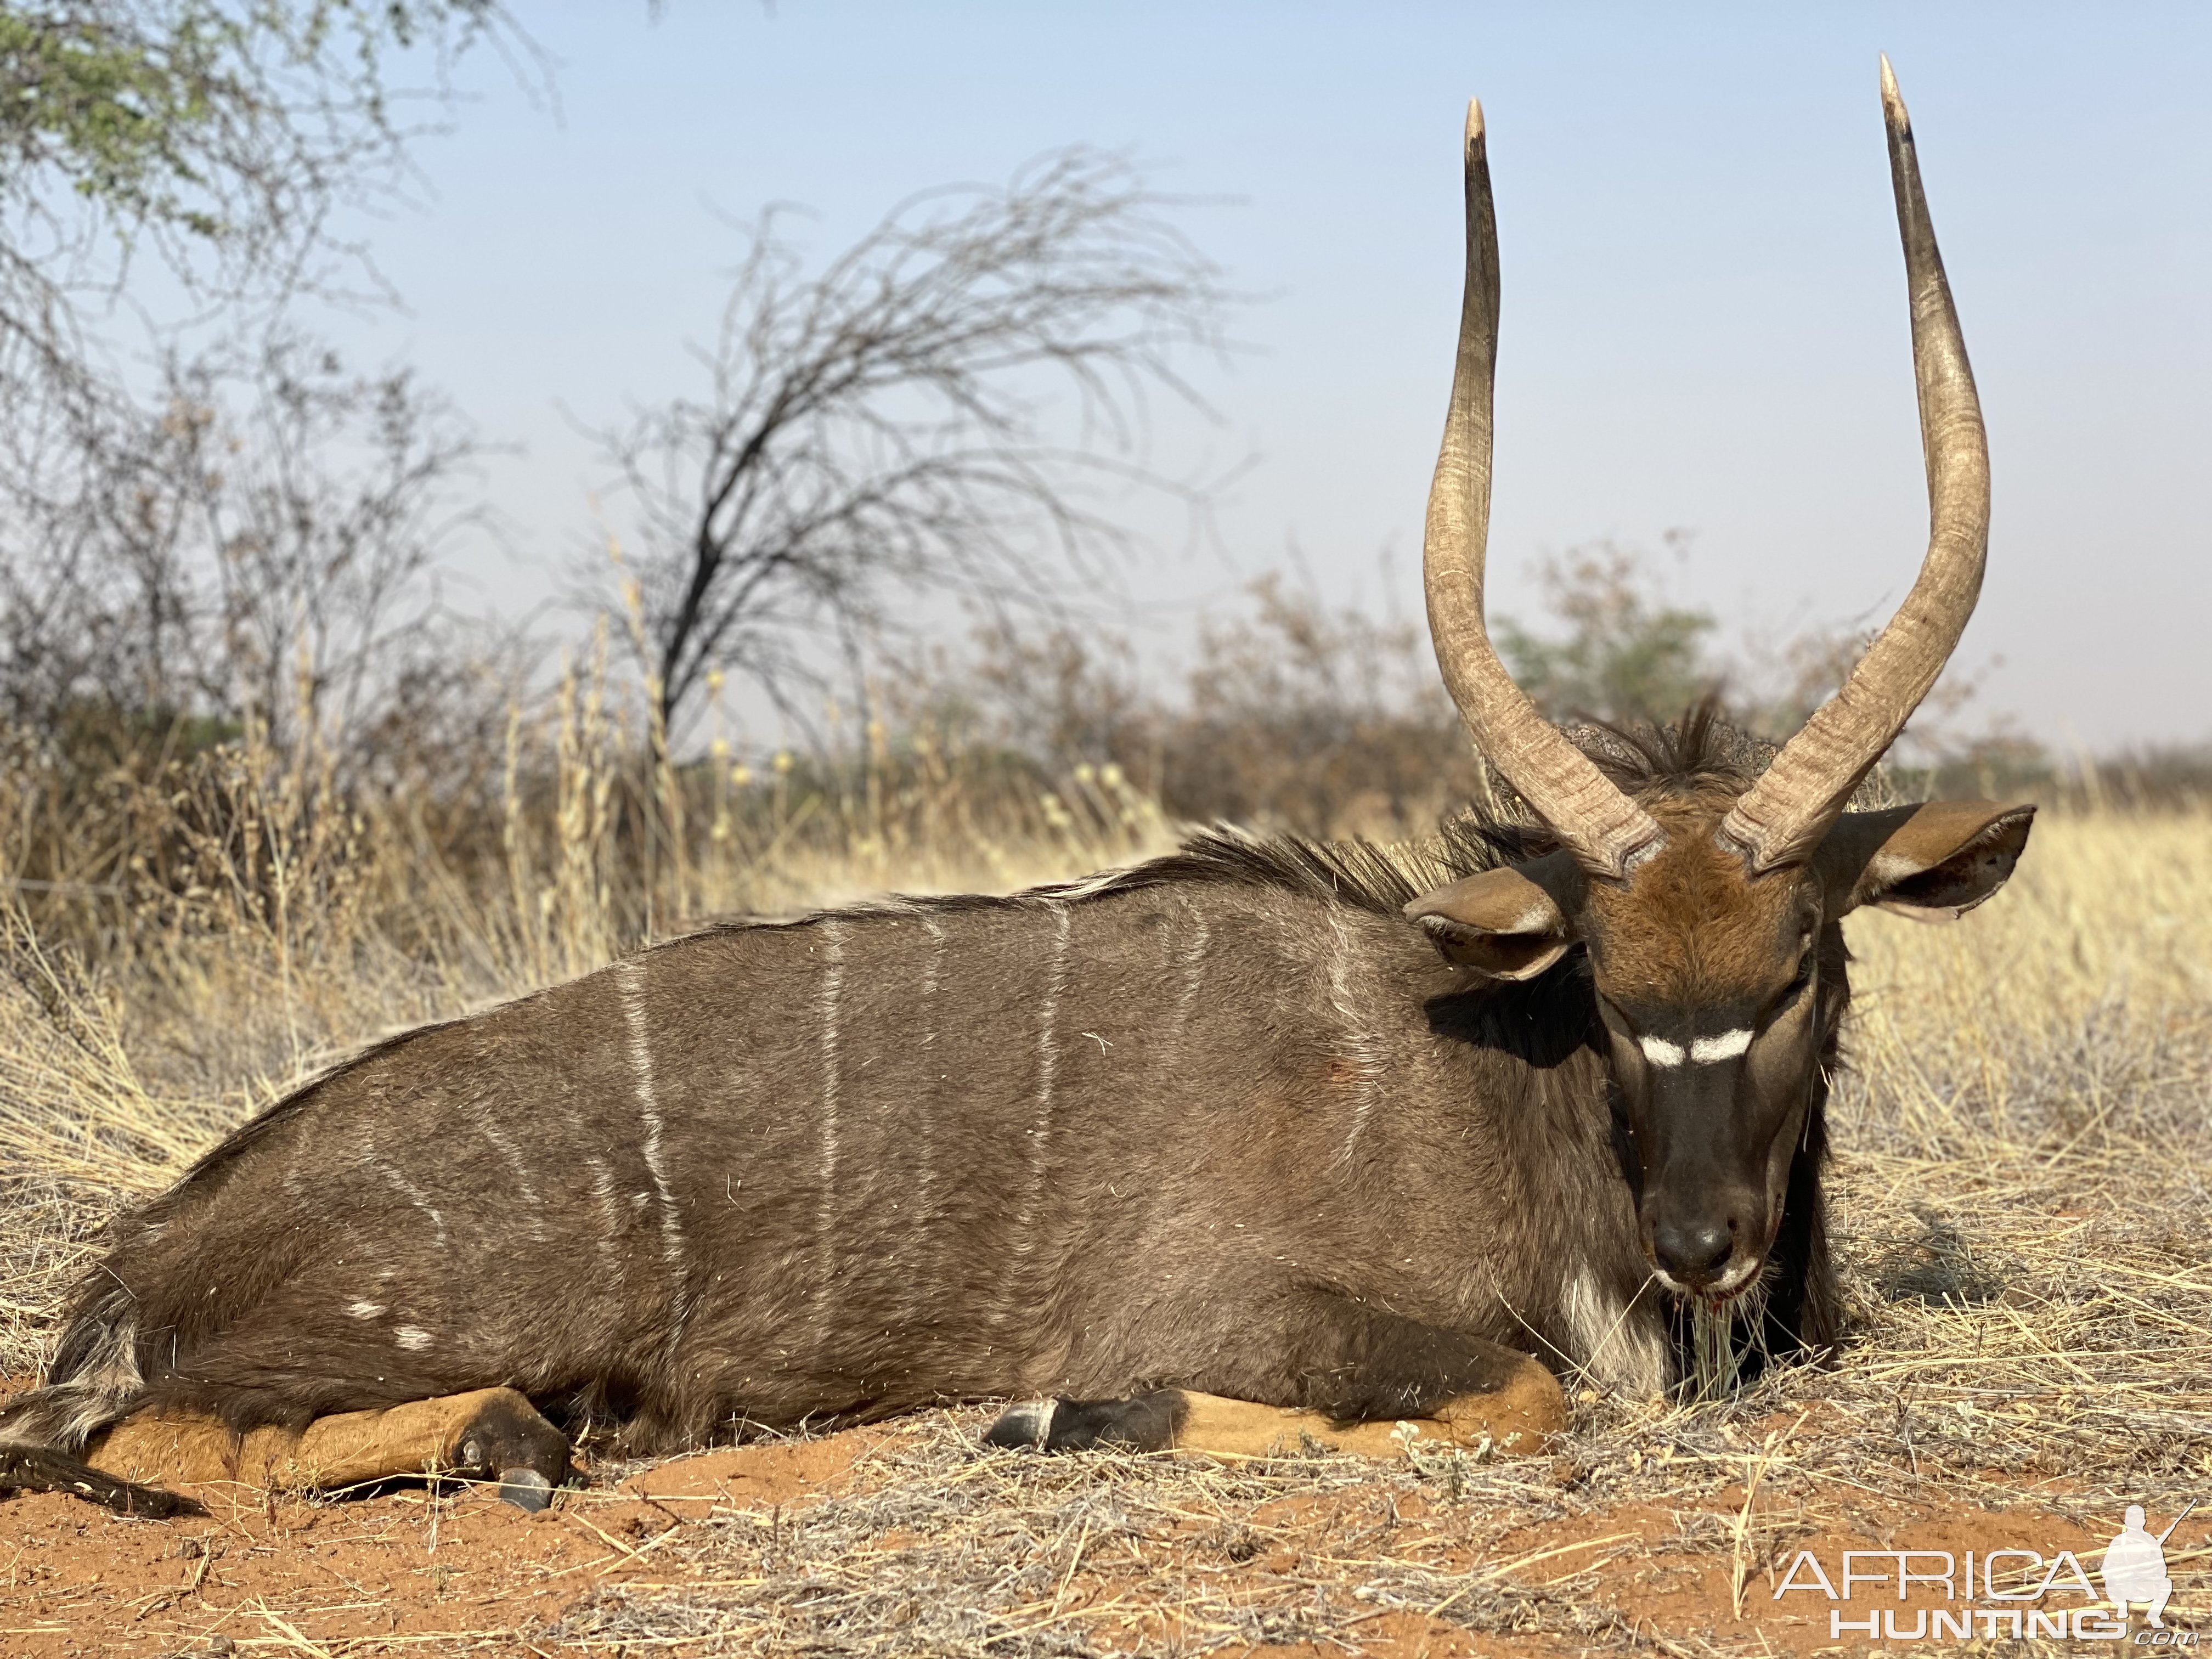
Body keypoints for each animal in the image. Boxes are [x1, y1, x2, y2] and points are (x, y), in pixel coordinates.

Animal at [0, 61, 2026, 1522]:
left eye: (1803, 960)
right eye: (1604, 983)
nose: (1703, 1245)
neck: (1494, 1075)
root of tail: (150, 1256)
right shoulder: (1248, 1307)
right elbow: (1524, 1394)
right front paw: (1071, 1418)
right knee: (154, 1440)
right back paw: (512, 1437)